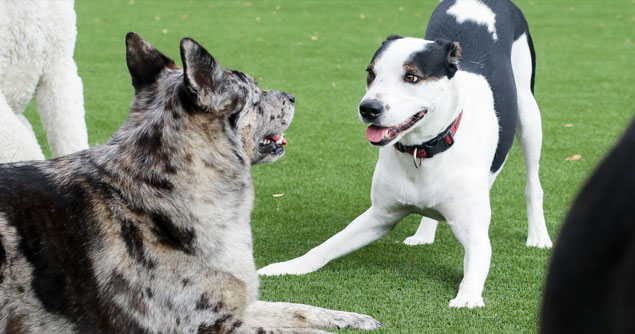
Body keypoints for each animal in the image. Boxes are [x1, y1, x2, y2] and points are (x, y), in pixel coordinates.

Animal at [0, 32, 380, 334]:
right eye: (255, 95)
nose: (291, 96)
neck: (157, 186)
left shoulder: (233, 304)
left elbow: (295, 309)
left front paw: (351, 317)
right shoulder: (203, 324)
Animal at [260, 0, 556, 308]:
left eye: (411, 77)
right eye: (371, 74)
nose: (369, 108)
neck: (423, 151)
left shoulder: (474, 232)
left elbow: (476, 262)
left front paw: (467, 297)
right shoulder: (380, 215)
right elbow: (326, 246)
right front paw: (289, 266)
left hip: (529, 114)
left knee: (533, 184)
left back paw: (538, 235)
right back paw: (424, 233)